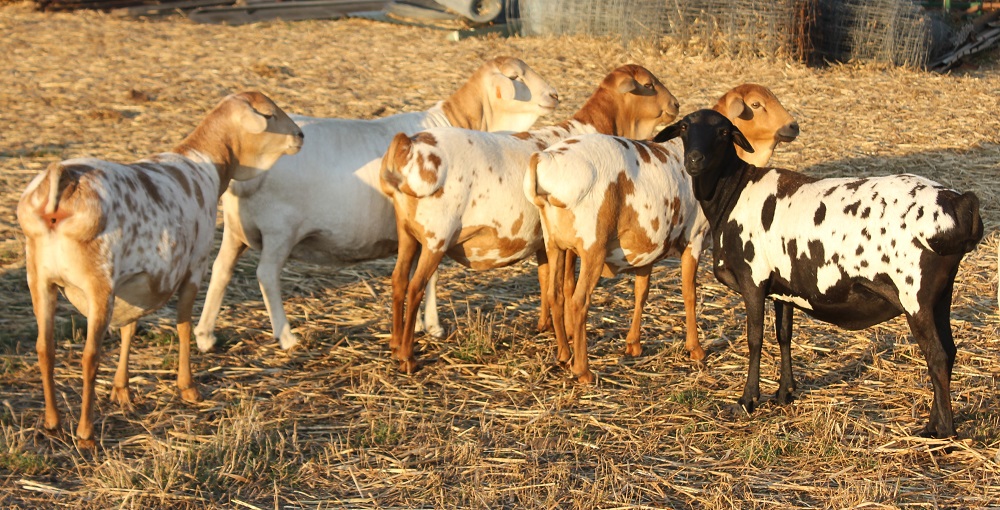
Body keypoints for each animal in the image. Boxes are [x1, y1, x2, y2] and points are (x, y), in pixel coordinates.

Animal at [15, 92, 302, 450]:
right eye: (268, 114)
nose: (300, 136)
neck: (207, 162)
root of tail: (61, 184)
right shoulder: (194, 267)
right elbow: (183, 325)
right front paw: (188, 387)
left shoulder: (134, 282)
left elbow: (130, 329)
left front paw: (122, 390)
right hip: (98, 283)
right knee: (89, 356)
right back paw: (86, 432)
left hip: (40, 278)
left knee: (45, 348)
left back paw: (52, 421)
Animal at [191, 55, 560, 350]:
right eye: (515, 77)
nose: (555, 95)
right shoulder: (434, 227)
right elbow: (431, 278)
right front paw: (433, 326)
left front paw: (422, 324)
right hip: (279, 229)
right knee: (266, 275)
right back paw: (286, 337)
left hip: (236, 228)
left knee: (220, 271)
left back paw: (206, 336)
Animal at [378, 64, 684, 374]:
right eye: (648, 84)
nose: (676, 104)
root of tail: (407, 147)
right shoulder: (570, 240)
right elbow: (567, 286)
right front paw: (569, 333)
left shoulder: (543, 240)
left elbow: (546, 280)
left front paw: (546, 326)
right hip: (436, 235)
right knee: (415, 287)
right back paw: (408, 357)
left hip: (408, 232)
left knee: (399, 280)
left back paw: (394, 345)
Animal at [528, 83, 800, 380]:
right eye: (756, 104)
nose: (793, 126)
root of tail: (545, 160)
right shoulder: (694, 239)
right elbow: (689, 294)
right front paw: (695, 349)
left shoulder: (647, 243)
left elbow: (641, 291)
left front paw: (633, 344)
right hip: (592, 247)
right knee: (578, 302)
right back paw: (583, 370)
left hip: (555, 244)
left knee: (554, 295)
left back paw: (564, 355)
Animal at [656, 109, 984, 436]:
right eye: (684, 127)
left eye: (724, 132)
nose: (694, 160)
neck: (732, 192)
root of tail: (959, 204)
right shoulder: (783, 288)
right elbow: (784, 335)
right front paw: (784, 393)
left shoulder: (753, 280)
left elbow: (755, 339)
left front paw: (748, 400)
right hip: (940, 294)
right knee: (948, 351)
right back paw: (935, 425)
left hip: (915, 295)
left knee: (937, 356)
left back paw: (941, 431)